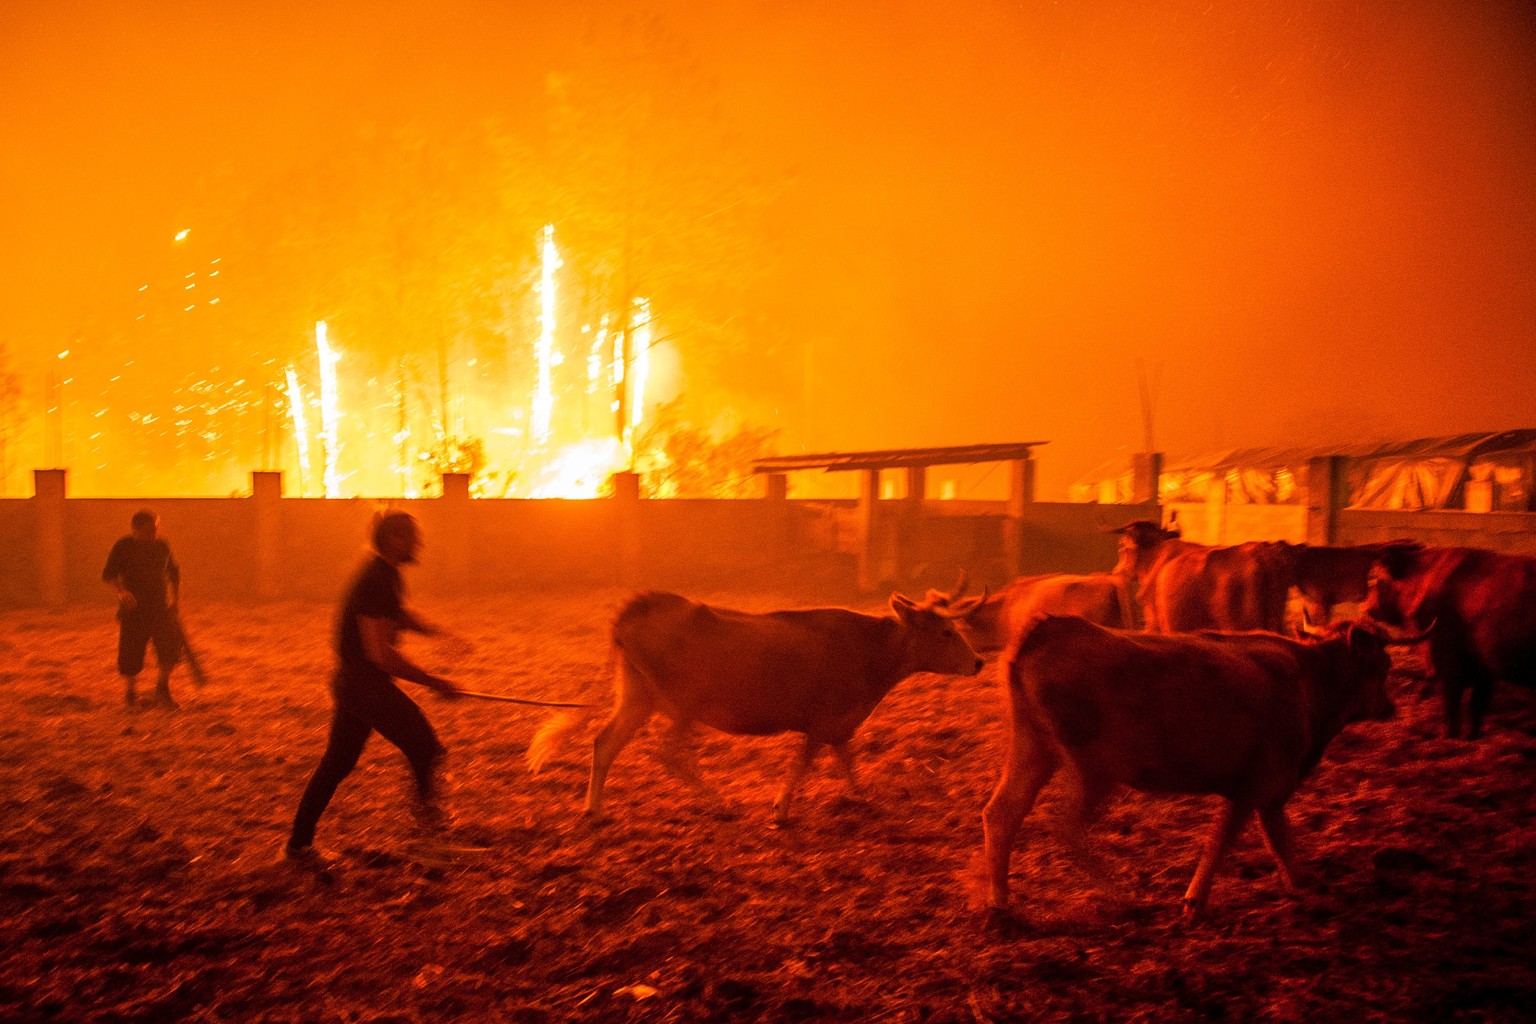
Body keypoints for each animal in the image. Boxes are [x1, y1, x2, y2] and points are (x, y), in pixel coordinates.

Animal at [983, 617, 1413, 921]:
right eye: (1383, 664)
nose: (1389, 706)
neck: (1310, 680)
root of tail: (1049, 629)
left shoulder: (1267, 794)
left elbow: (1280, 842)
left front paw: (1303, 885)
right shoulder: (1258, 785)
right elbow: (1224, 840)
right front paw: (1193, 901)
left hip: (1032, 749)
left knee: (1002, 813)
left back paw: (999, 903)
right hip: (1094, 768)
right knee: (1067, 827)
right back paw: (1122, 896)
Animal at [1370, 543, 1536, 736]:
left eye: (1378, 580)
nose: (1366, 606)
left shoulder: (1447, 666)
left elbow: (1451, 707)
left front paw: (1448, 736)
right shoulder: (1483, 671)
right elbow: (1475, 708)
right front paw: (1471, 736)